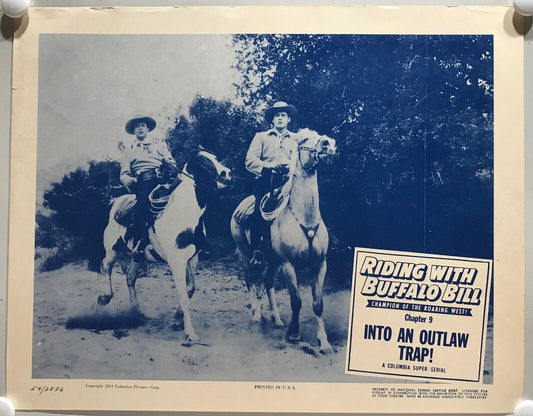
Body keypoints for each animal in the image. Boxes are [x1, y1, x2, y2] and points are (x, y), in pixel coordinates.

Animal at [97, 148, 231, 342]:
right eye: (201, 163)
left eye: (215, 157)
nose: (226, 174)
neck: (183, 212)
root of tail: (116, 202)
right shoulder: (176, 262)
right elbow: (183, 295)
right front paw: (190, 333)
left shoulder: (192, 258)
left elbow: (190, 289)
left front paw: (176, 320)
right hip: (113, 250)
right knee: (105, 267)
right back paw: (104, 298)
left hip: (138, 256)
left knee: (130, 277)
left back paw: (136, 312)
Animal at [230, 128, 336, 352]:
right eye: (304, 139)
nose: (328, 144)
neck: (304, 218)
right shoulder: (289, 265)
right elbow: (296, 301)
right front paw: (294, 334)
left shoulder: (320, 265)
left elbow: (318, 303)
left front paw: (323, 341)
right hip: (245, 253)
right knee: (250, 279)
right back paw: (256, 316)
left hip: (274, 261)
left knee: (268, 282)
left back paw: (277, 319)